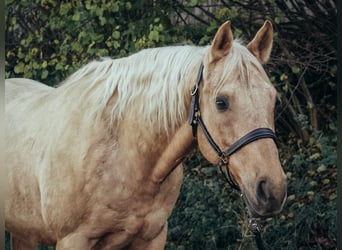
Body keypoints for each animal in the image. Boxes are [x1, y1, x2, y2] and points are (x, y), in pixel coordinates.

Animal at [5, 20, 288, 249]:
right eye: (221, 102)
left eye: (274, 100)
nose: (273, 190)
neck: (124, 156)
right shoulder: (73, 240)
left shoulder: (152, 237)